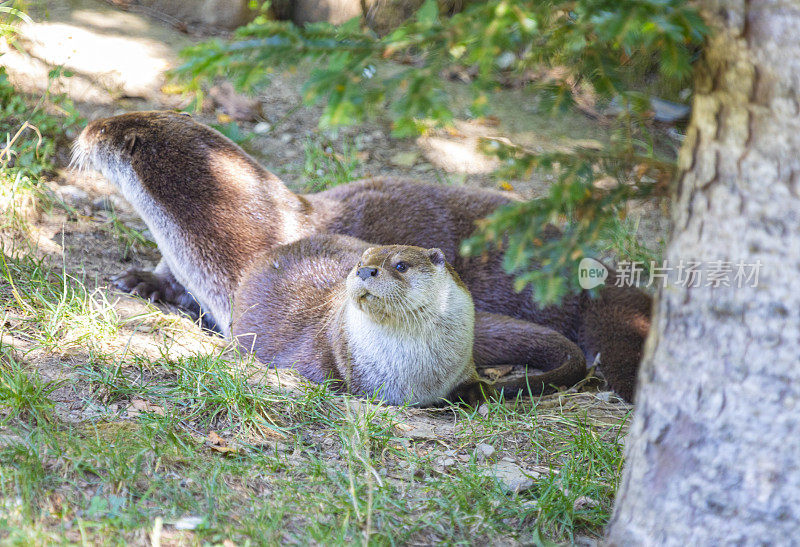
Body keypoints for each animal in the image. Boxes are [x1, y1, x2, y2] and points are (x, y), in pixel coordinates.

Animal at [231, 235, 588, 406]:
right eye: (359, 263)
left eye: (400, 265)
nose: (364, 270)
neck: (415, 375)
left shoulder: (462, 366)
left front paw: (476, 395)